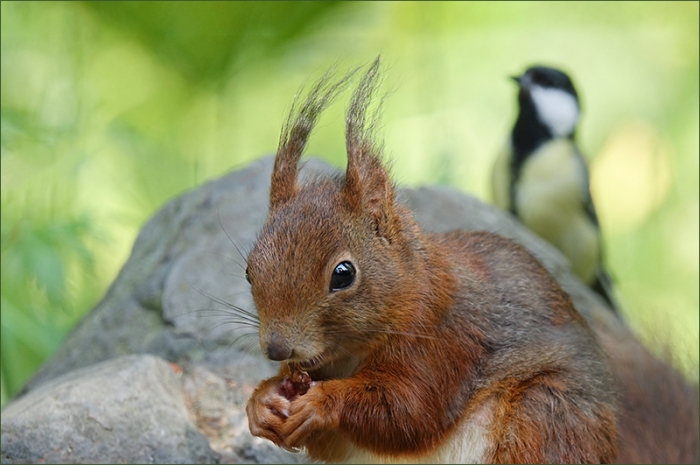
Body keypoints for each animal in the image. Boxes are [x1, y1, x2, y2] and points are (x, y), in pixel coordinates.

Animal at [245, 58, 698, 463]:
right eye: (249, 271)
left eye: (343, 274)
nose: (276, 347)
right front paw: (262, 401)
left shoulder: (448, 342)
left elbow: (408, 412)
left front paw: (321, 402)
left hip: (545, 415)